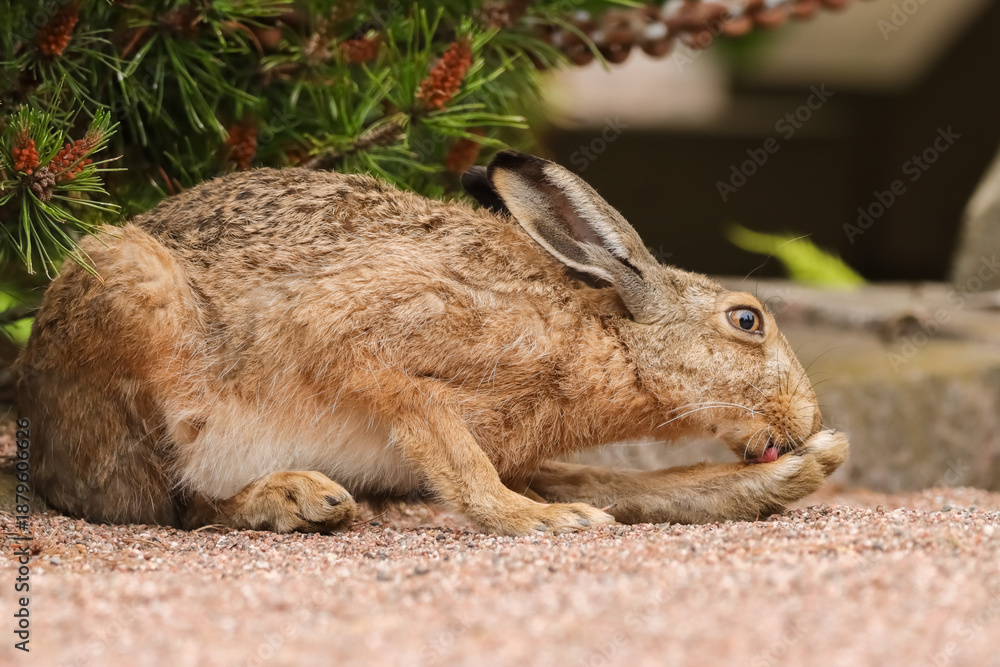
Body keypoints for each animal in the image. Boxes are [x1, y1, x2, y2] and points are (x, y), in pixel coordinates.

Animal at [16, 150, 849, 536]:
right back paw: (301, 497)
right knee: (167, 503)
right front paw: (537, 523)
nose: (806, 420)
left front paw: (814, 463)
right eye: (747, 320)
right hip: (138, 314)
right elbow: (459, 459)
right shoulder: (372, 351)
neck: (605, 336)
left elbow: (620, 485)